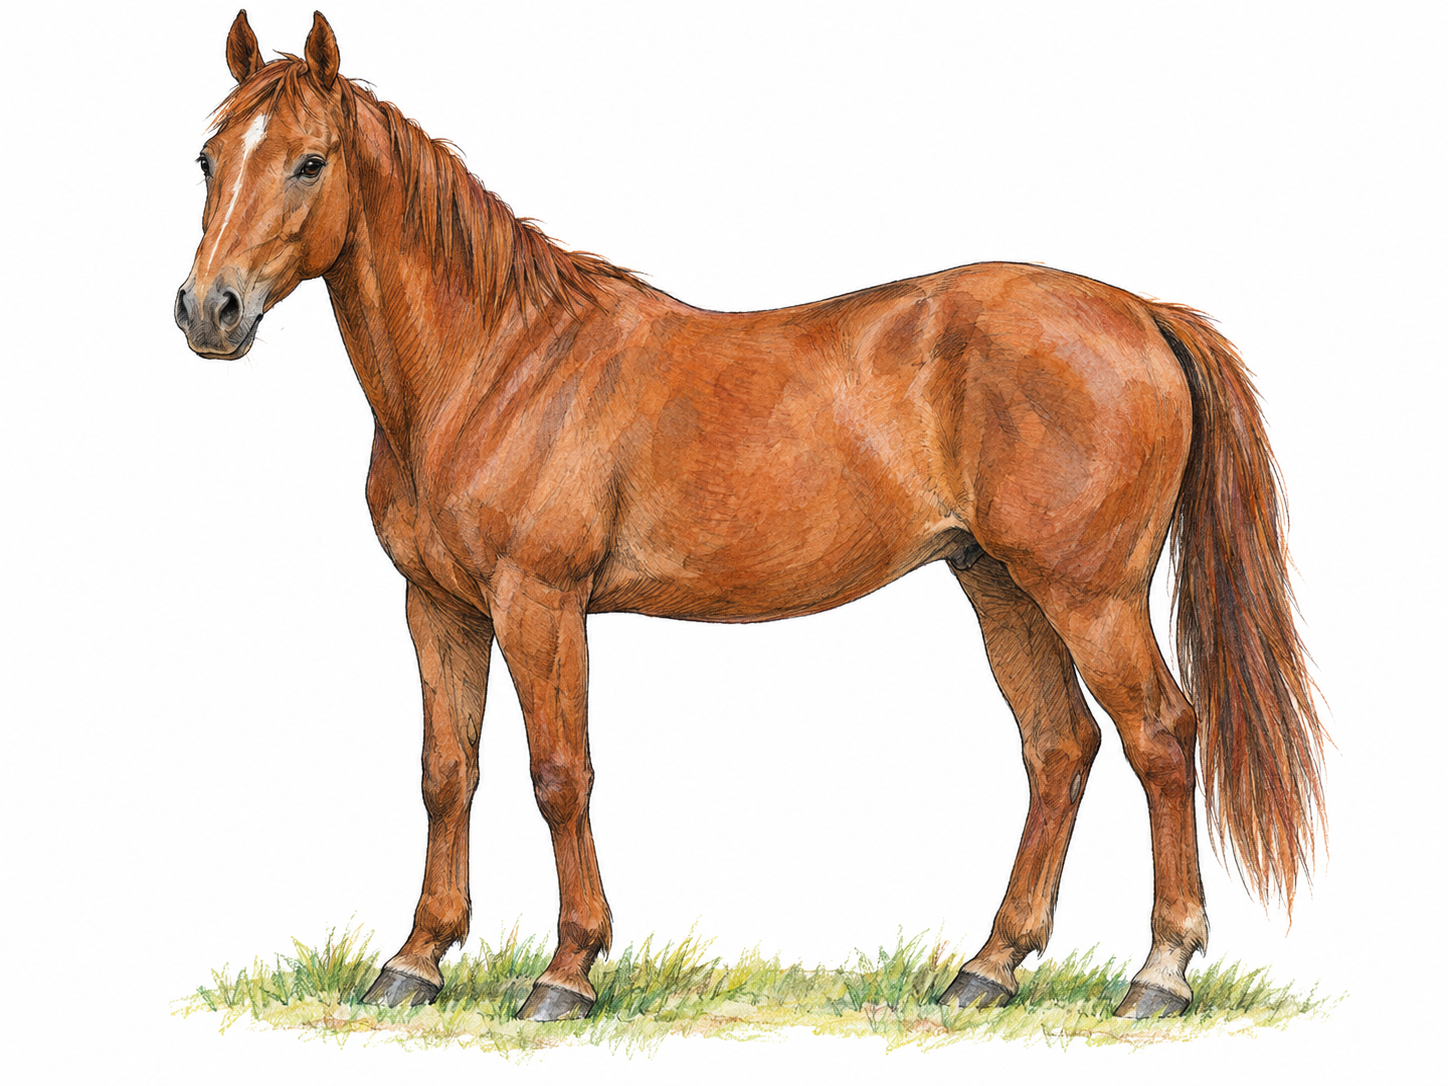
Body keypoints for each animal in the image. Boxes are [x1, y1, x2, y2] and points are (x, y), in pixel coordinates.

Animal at [175, 11, 1325, 1022]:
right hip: (999, 584)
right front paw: (415, 960)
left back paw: (1160, 973)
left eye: (310, 162)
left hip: (1091, 594)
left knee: (1159, 737)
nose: (208, 311)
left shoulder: (539, 603)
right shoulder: (437, 605)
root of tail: (1141, 313)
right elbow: (445, 773)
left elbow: (559, 776)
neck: (496, 363)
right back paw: (987, 968)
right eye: (207, 159)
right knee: (1058, 748)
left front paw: (567, 973)